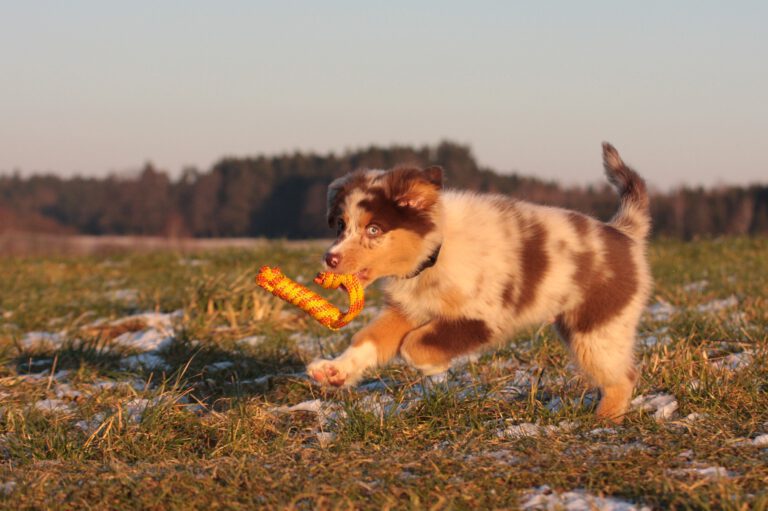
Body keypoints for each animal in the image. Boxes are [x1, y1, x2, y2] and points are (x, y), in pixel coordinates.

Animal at [308, 142, 652, 422]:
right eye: (341, 225)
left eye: (374, 230)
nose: (330, 259)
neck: (435, 252)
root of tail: (623, 232)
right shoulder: (408, 308)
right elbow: (369, 339)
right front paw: (334, 372)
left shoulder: (483, 316)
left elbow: (413, 344)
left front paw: (433, 367)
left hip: (597, 328)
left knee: (624, 376)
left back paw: (605, 420)